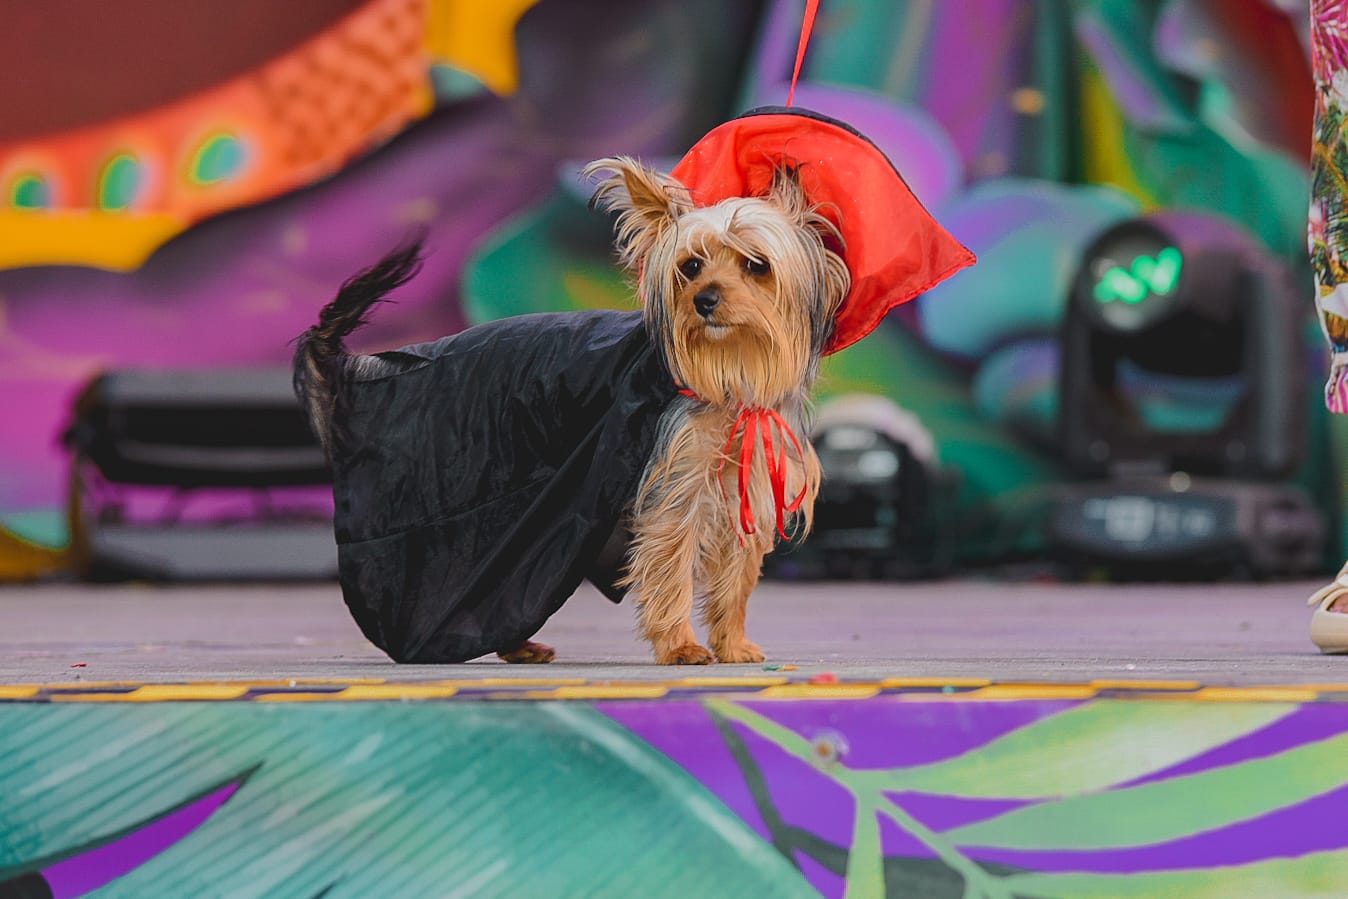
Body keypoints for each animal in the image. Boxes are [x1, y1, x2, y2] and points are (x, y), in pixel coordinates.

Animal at [300, 155, 846, 665]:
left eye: (757, 264)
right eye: (690, 267)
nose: (705, 300)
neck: (730, 373)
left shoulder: (745, 485)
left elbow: (735, 578)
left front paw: (732, 645)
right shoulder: (676, 487)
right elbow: (671, 566)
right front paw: (681, 647)